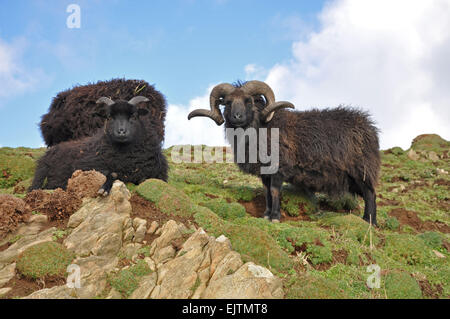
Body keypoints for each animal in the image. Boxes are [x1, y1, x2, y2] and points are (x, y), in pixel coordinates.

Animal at [29, 96, 168, 194]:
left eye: (134, 116)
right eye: (109, 117)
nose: (121, 131)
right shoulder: (86, 166)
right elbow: (112, 173)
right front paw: (104, 188)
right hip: (41, 173)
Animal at [188, 80, 382, 225]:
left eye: (248, 101)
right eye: (227, 102)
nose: (237, 117)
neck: (261, 127)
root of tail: (369, 127)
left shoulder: (278, 168)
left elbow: (274, 191)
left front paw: (275, 217)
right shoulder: (264, 173)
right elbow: (266, 192)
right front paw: (266, 215)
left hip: (362, 170)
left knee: (370, 194)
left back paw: (369, 222)